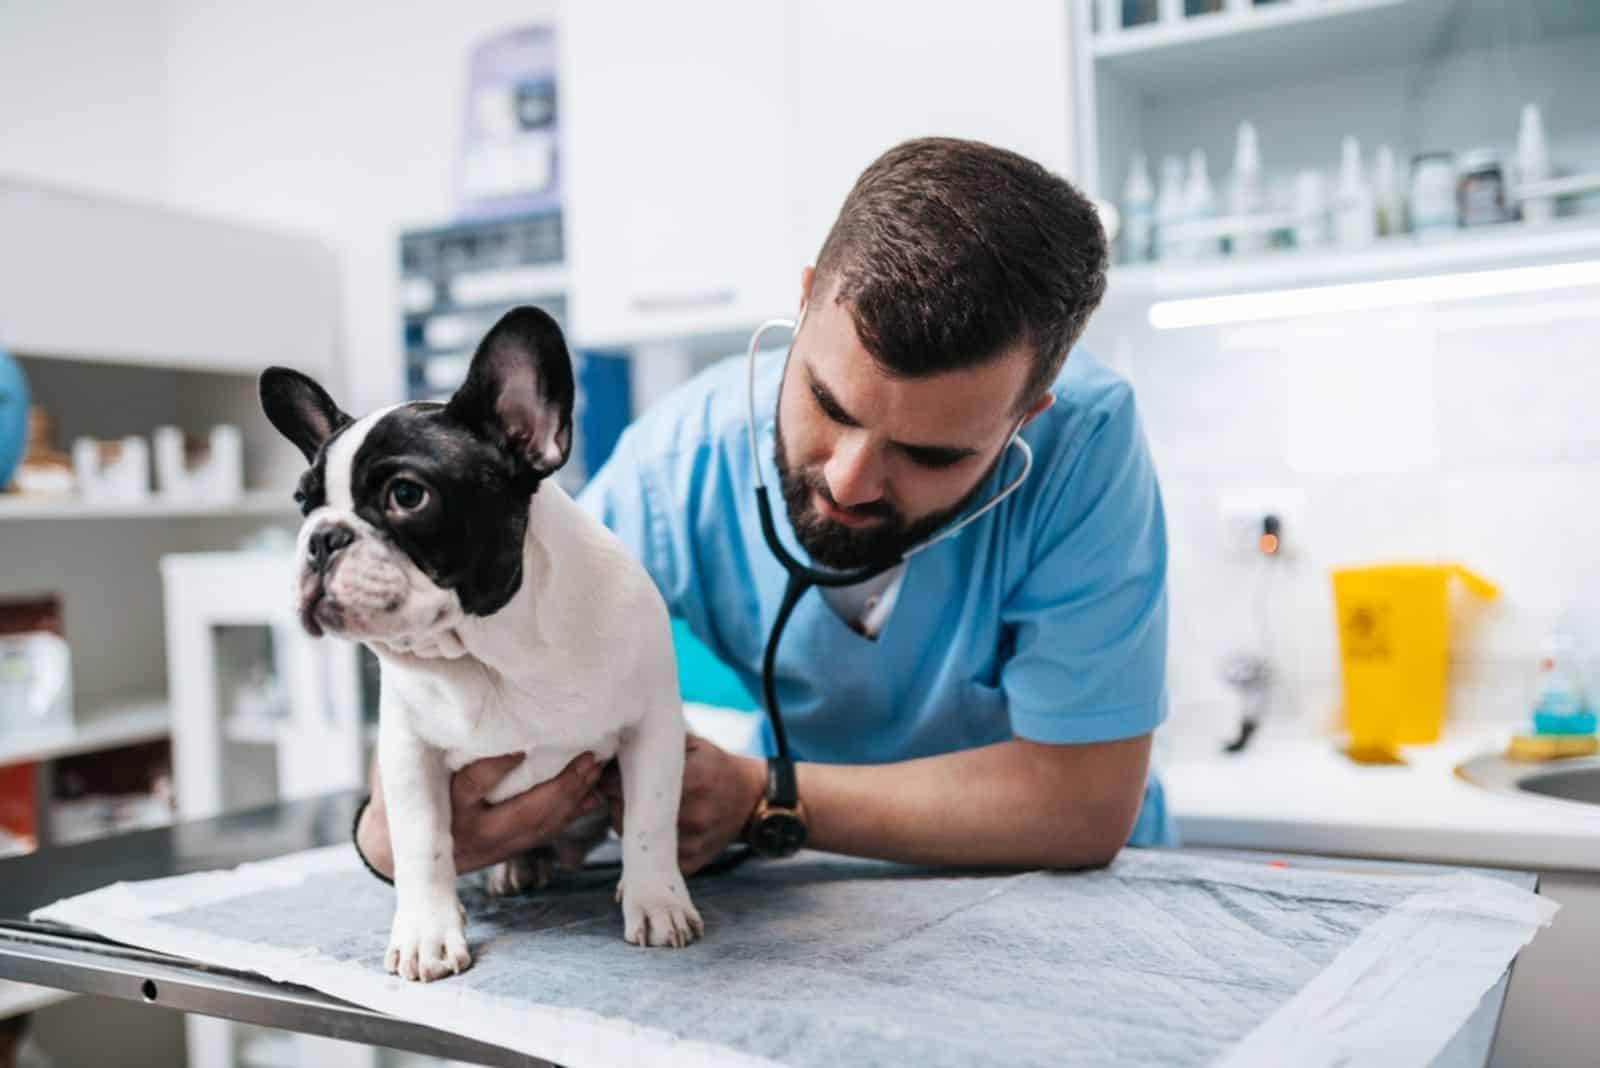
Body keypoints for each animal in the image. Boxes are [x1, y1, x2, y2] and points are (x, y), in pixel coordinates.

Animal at [260, 303, 700, 978]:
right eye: (304, 502)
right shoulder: (410, 754)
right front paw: (426, 933)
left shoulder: (650, 727)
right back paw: (516, 866)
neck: (495, 651)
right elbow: (421, 844)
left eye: (407, 494)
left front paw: (656, 900)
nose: (322, 538)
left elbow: (650, 819)